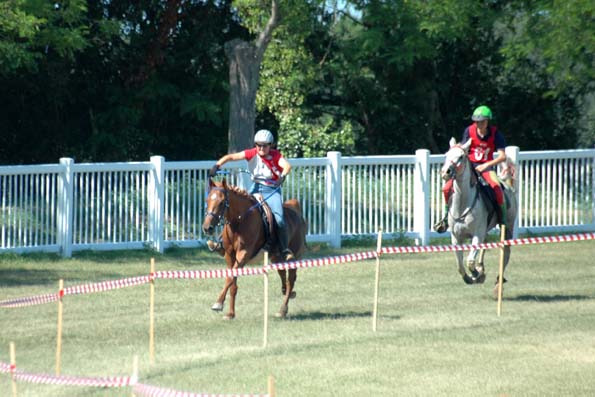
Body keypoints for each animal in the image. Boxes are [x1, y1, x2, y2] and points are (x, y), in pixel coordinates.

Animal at [204, 179, 310, 318]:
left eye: (221, 202)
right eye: (207, 200)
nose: (207, 227)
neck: (240, 221)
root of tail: (296, 211)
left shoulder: (243, 254)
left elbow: (230, 278)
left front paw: (218, 303)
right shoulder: (229, 255)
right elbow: (232, 283)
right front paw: (230, 313)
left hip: (294, 257)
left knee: (290, 280)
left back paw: (283, 309)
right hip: (275, 257)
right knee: (283, 274)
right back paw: (286, 292)